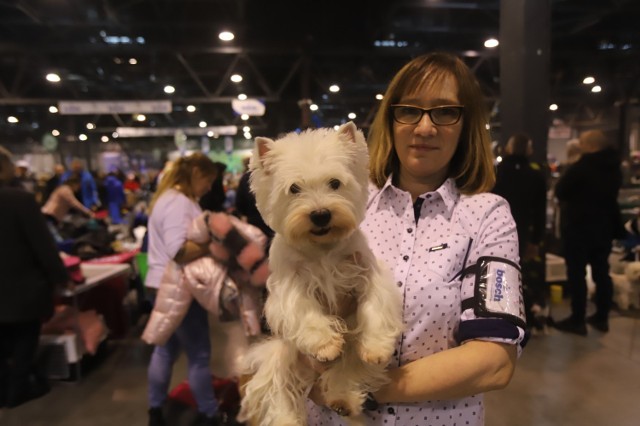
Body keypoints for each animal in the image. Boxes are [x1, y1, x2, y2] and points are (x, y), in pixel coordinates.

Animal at [238, 121, 402, 424]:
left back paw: (343, 400)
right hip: (283, 358)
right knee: (280, 391)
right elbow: (306, 313)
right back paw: (288, 417)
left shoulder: (368, 274)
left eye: (335, 183)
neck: (322, 249)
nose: (321, 214)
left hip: (348, 352)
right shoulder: (290, 286)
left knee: (346, 370)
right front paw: (325, 345)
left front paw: (376, 348)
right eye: (294, 188)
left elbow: (375, 307)